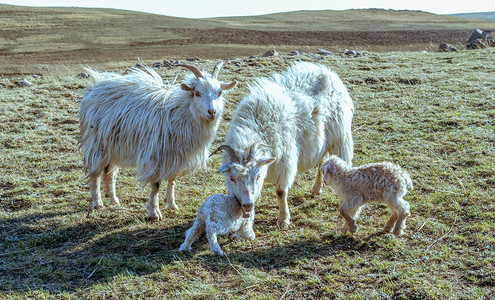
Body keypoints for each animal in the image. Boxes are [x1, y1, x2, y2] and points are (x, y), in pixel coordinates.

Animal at [223, 61, 354, 227]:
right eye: (232, 179)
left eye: (257, 176)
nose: (247, 205)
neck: (259, 125)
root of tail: (328, 72)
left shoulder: (285, 162)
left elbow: (281, 192)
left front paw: (283, 219)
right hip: (322, 142)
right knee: (322, 162)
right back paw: (316, 188)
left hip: (340, 137)